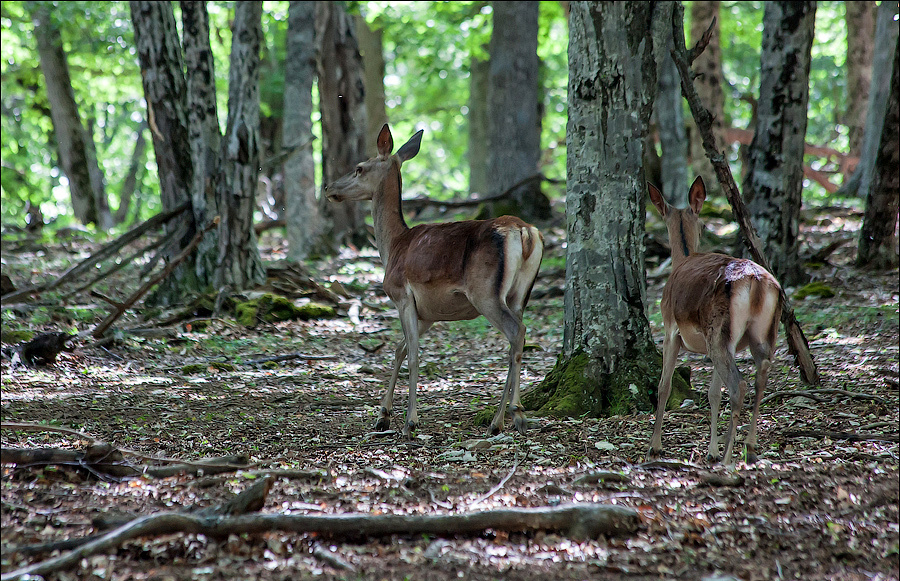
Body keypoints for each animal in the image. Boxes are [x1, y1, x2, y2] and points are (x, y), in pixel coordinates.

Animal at [326, 124, 544, 438]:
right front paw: (383, 415)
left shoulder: (401, 295)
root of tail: (525, 233)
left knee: (517, 332)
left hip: (485, 293)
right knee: (517, 338)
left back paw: (516, 414)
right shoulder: (428, 312)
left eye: (359, 168)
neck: (393, 246)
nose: (328, 188)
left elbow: (414, 354)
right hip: (519, 294)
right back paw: (498, 420)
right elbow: (400, 349)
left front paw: (410, 421)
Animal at [648, 174, 780, 464]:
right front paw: (711, 450)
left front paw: (655, 446)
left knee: (738, 384)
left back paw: (730, 456)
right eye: (703, 223)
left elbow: (664, 385)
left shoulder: (670, 330)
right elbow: (712, 394)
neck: (683, 258)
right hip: (761, 332)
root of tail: (756, 282)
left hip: (719, 331)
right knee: (761, 375)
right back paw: (749, 448)